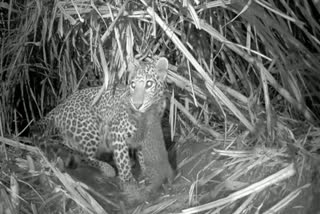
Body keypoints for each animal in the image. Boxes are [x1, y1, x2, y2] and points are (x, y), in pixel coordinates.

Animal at [31, 56, 169, 186]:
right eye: (133, 85)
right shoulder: (117, 131)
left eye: (149, 84)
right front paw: (129, 182)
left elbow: (142, 155)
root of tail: (60, 105)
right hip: (91, 130)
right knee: (85, 156)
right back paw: (107, 168)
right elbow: (123, 162)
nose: (136, 105)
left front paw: (146, 172)